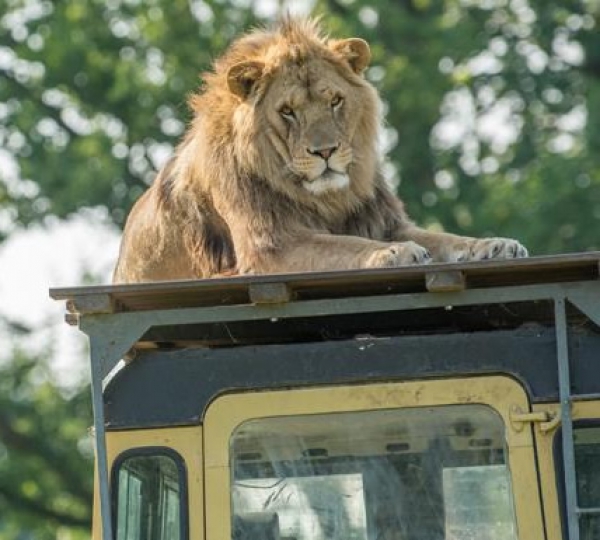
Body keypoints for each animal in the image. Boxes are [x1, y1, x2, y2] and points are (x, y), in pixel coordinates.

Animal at [112, 16, 524, 282]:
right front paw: (393, 253)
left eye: (335, 101)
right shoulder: (270, 248)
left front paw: (496, 245)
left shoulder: (386, 222)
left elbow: (446, 239)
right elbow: (343, 245)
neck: (327, 198)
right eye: (287, 111)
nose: (324, 152)